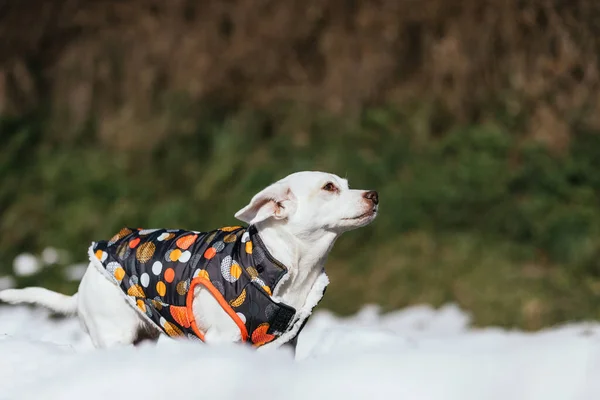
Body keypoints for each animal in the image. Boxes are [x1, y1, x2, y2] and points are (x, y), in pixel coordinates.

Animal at [0, 170, 380, 352]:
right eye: (329, 187)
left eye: (345, 184)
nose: (374, 194)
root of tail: (81, 289)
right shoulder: (225, 341)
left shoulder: (285, 344)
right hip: (115, 334)